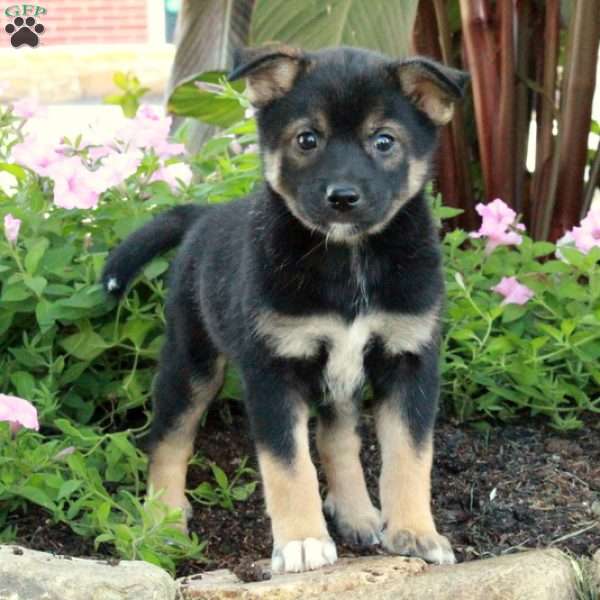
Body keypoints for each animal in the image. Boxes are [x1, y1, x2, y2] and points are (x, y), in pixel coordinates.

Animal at [103, 45, 468, 572]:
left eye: (384, 140)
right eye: (307, 139)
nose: (342, 197)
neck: (348, 258)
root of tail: (206, 214)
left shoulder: (410, 359)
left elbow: (410, 456)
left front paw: (416, 533)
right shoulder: (274, 368)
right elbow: (289, 465)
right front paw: (302, 541)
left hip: (339, 378)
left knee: (337, 439)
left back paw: (356, 511)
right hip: (192, 360)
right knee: (169, 437)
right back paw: (164, 519)